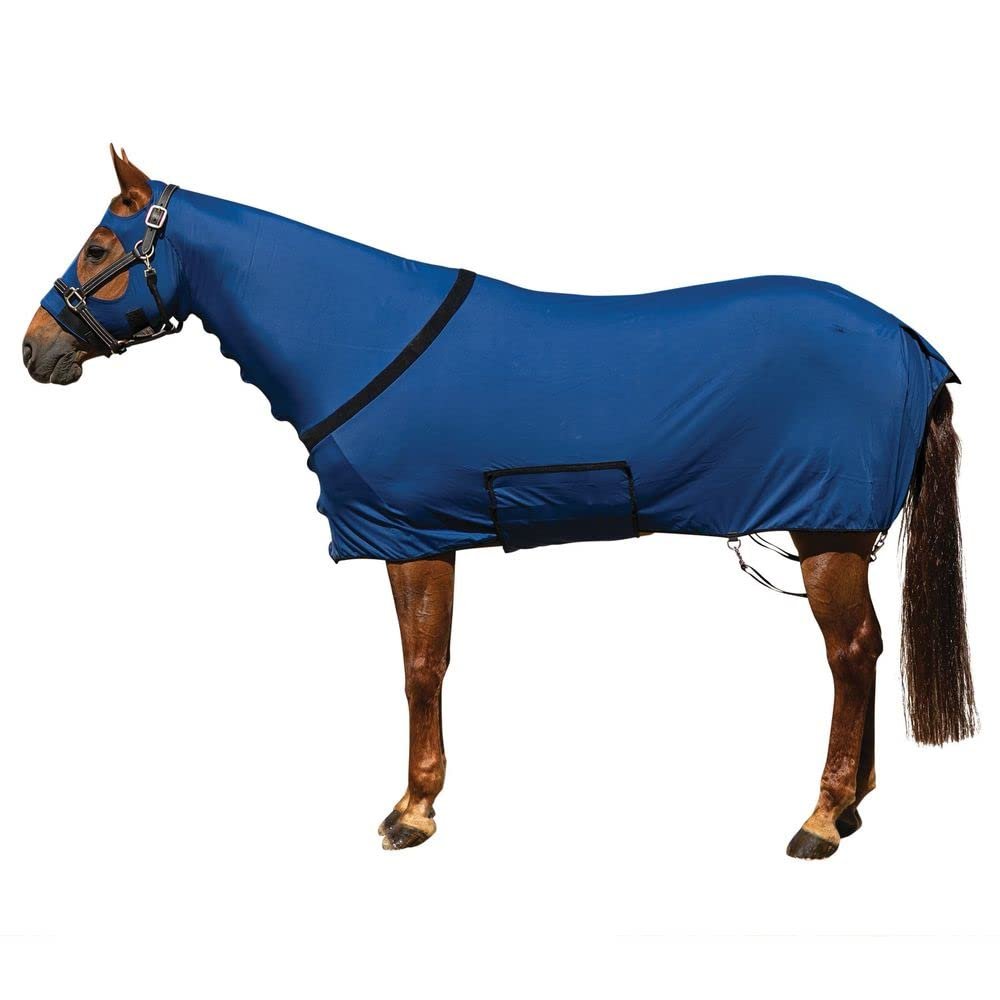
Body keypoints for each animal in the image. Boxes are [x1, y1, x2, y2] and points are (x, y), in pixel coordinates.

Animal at [22, 147, 977, 859]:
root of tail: (911, 340)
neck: (356, 334)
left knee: (850, 654)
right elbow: (429, 663)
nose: (35, 349)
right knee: (868, 650)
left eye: (100, 249)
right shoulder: (421, 535)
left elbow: (420, 668)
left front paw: (412, 811)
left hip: (825, 529)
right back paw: (853, 804)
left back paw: (820, 818)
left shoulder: (411, 536)